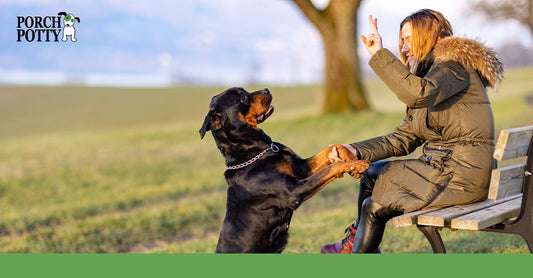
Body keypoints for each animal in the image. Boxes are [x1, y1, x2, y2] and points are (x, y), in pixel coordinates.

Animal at [200, 88, 370, 253]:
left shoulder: (301, 168)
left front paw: (351, 158)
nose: (267, 90)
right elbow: (331, 168)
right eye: (242, 98)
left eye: (244, 91)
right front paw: (359, 165)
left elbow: (333, 148)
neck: (255, 152)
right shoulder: (294, 192)